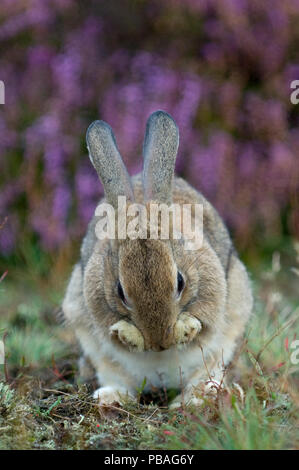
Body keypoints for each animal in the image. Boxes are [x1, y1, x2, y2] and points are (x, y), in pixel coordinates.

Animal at [62, 110, 253, 408]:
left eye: (180, 282)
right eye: (120, 291)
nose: (159, 342)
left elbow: (203, 322)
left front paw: (184, 330)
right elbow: (112, 333)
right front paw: (128, 334)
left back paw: (195, 399)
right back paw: (111, 398)